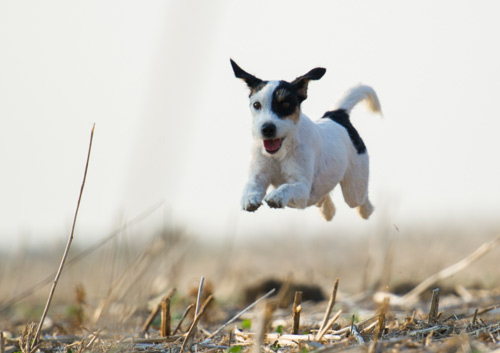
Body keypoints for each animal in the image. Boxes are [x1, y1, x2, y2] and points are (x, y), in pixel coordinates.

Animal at [231, 59, 382, 220]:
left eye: (286, 104)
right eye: (256, 105)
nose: (267, 129)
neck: (282, 151)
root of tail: (336, 115)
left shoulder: (303, 188)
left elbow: (287, 187)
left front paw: (276, 196)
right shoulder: (258, 175)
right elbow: (250, 186)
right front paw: (249, 198)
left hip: (354, 191)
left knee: (361, 202)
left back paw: (366, 211)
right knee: (324, 199)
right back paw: (328, 211)